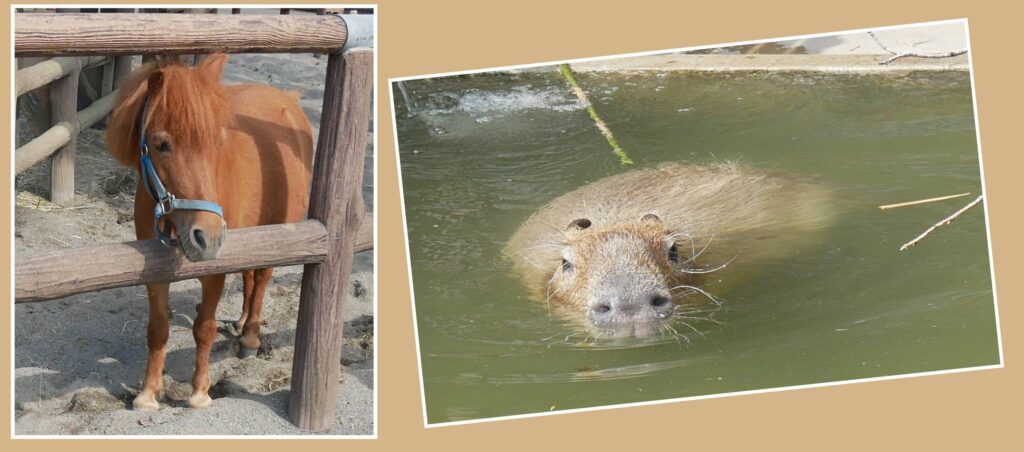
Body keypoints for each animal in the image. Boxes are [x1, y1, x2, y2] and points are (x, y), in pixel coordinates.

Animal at [106, 54, 311, 409]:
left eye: (217, 142)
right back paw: (241, 323)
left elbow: (204, 327)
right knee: (249, 277)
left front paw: (200, 391)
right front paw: (148, 392)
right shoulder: (154, 270)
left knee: (262, 280)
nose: (208, 236)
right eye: (161, 145)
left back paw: (250, 336)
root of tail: (289, 100)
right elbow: (157, 329)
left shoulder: (215, 271)